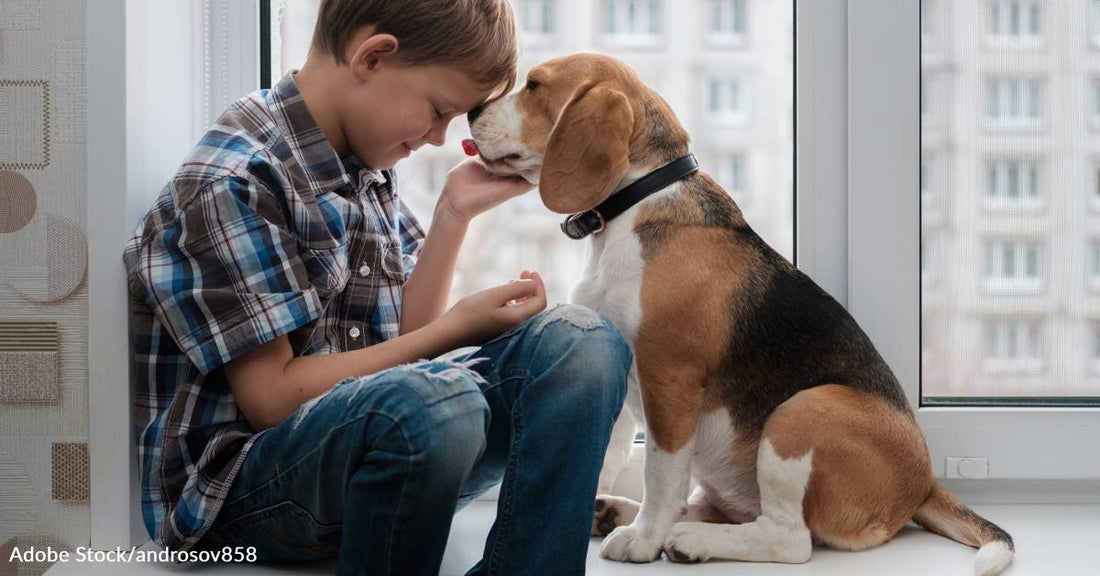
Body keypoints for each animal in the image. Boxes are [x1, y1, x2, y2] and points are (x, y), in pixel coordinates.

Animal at [464, 53, 1012, 576]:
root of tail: (924, 483)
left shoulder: (669, 378)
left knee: (790, 540)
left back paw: (684, 539)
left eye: (534, 85)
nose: (472, 111)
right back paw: (618, 512)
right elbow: (607, 454)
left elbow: (661, 474)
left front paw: (643, 541)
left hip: (802, 411)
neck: (635, 204)